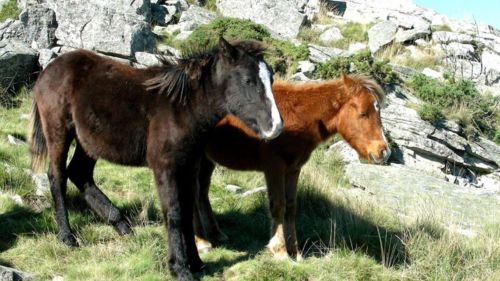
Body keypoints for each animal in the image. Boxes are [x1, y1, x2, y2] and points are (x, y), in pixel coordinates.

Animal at [29, 37, 284, 280]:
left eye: (271, 79)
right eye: (248, 81)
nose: (275, 127)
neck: (183, 108)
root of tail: (48, 70)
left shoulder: (189, 166)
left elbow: (187, 211)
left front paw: (196, 262)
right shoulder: (165, 168)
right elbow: (174, 213)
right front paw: (179, 269)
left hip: (88, 142)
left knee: (80, 174)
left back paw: (122, 225)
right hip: (59, 131)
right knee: (57, 177)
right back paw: (67, 237)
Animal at [191, 73, 390, 260]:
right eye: (363, 113)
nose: (384, 152)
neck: (295, 116)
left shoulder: (293, 169)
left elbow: (291, 206)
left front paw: (295, 251)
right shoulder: (274, 168)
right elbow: (279, 205)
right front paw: (279, 250)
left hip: (207, 159)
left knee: (201, 193)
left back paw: (215, 234)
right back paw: (202, 242)